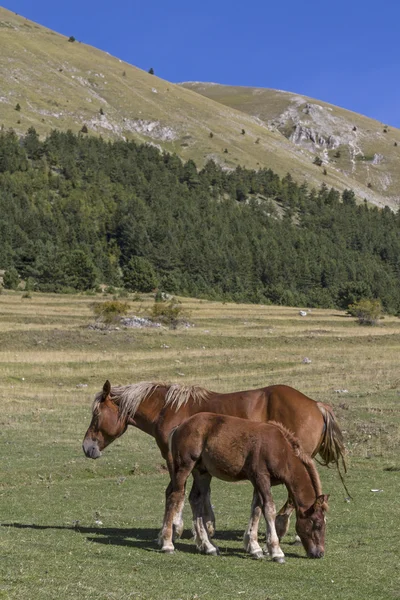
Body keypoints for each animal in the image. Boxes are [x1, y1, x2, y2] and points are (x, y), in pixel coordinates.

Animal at [83, 380, 344, 540]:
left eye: (96, 414)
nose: (86, 447)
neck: (168, 409)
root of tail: (316, 405)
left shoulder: (176, 459)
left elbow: (178, 491)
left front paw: (176, 528)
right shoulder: (199, 463)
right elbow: (200, 492)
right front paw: (207, 526)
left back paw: (279, 527)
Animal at [159, 412, 328, 564]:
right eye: (318, 524)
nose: (320, 553)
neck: (280, 450)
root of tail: (180, 427)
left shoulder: (258, 482)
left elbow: (256, 509)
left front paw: (255, 548)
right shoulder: (261, 477)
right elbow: (269, 509)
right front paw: (276, 551)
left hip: (202, 472)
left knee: (196, 499)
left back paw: (209, 547)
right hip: (184, 467)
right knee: (175, 496)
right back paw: (168, 544)